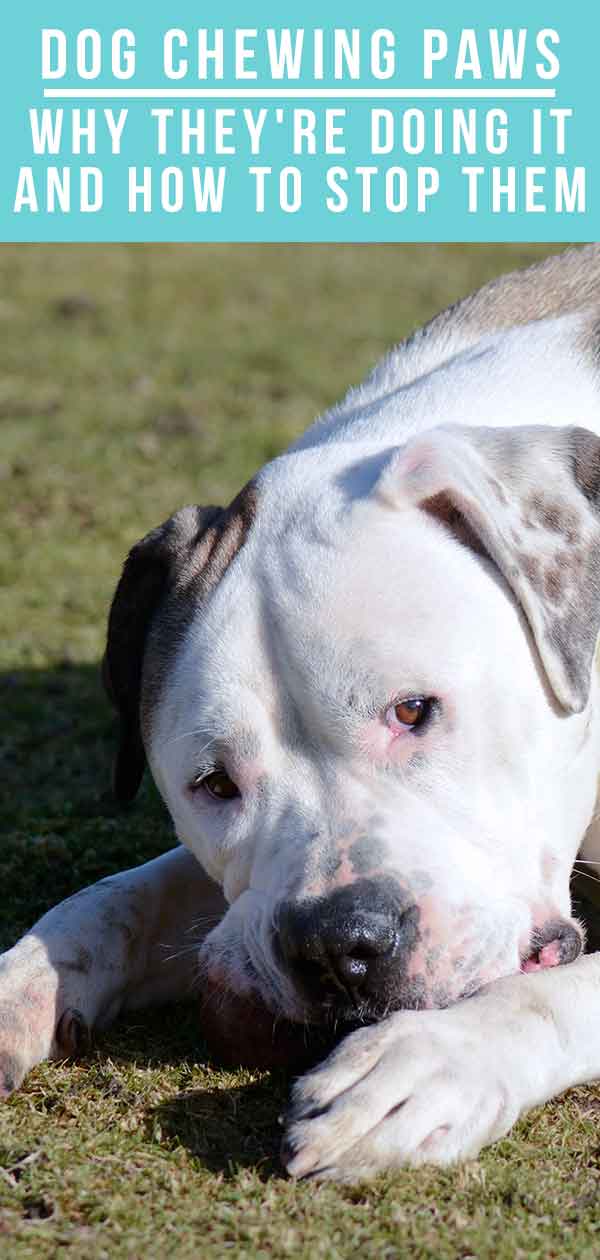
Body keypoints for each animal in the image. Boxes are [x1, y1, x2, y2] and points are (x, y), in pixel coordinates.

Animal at [3, 245, 600, 1179]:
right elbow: (118, 899)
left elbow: (558, 991)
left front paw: (430, 1061)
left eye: (414, 710)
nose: (335, 945)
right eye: (212, 784)